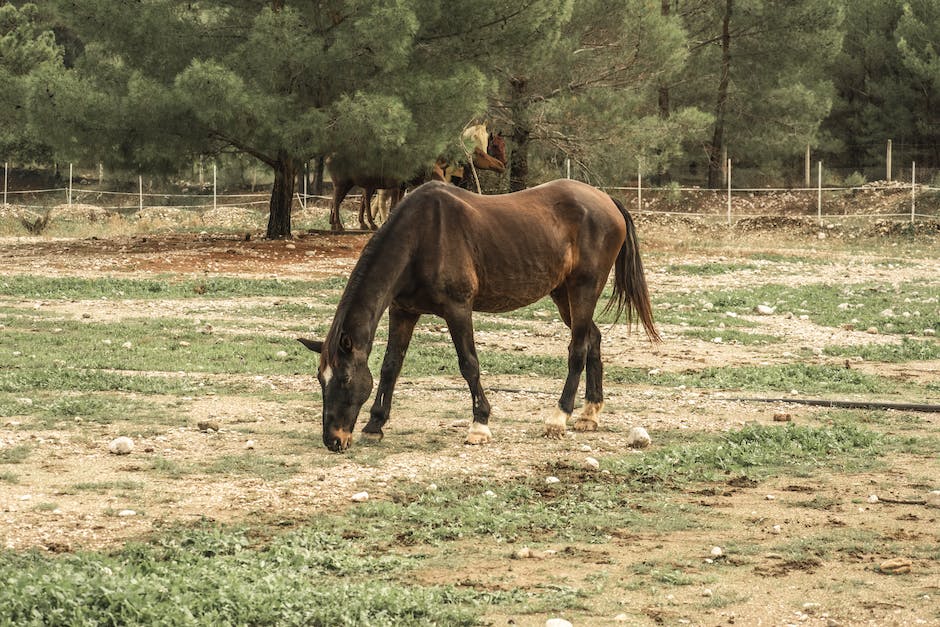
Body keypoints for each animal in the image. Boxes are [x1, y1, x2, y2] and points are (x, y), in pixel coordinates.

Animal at [298, 177, 656, 452]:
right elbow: (390, 368)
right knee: (593, 338)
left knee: (578, 349)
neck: (421, 237)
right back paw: (589, 414)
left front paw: (479, 425)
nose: (333, 440)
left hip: (583, 290)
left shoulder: (458, 309)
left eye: (344, 378)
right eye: (320, 378)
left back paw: (559, 418)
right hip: (562, 293)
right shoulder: (403, 312)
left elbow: (469, 364)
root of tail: (606, 200)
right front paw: (375, 424)